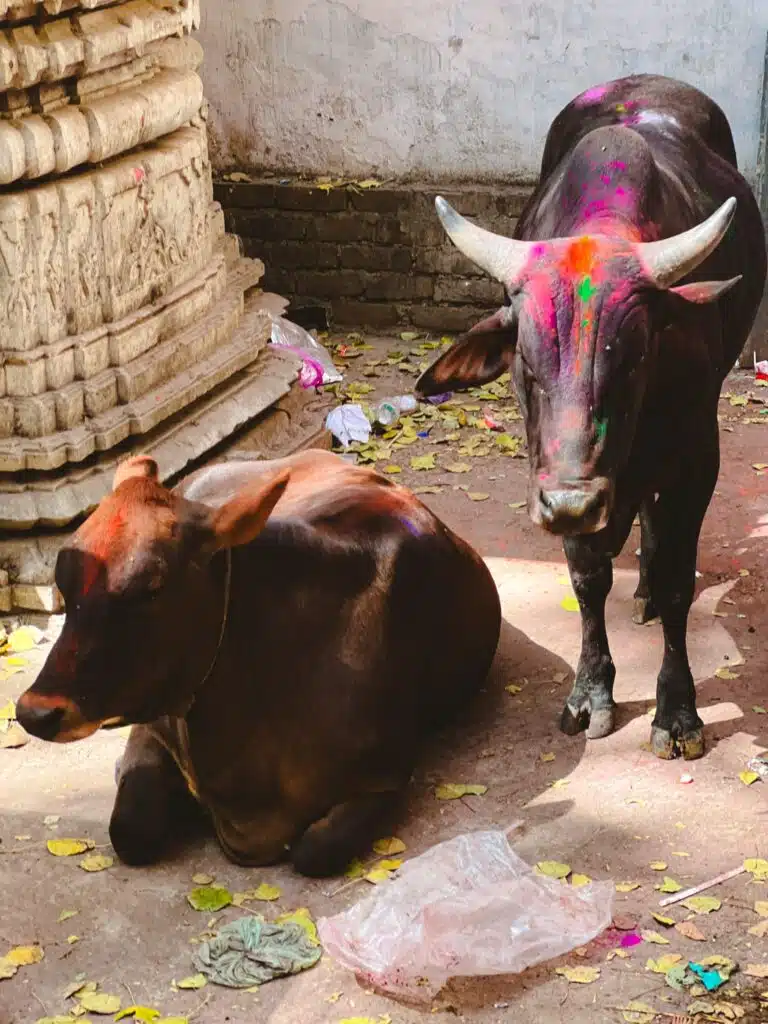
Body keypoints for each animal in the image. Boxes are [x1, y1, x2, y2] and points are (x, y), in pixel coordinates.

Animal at [15, 450, 501, 877]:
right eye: (64, 583)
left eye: (151, 587)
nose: (35, 711)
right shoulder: (151, 728)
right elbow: (130, 830)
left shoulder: (385, 776)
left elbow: (315, 851)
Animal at [416, 74, 767, 761]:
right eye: (526, 364)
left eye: (632, 360)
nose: (573, 504)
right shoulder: (555, 474)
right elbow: (586, 577)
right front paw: (591, 692)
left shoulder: (696, 457)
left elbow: (681, 582)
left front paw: (677, 710)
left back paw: (648, 585)